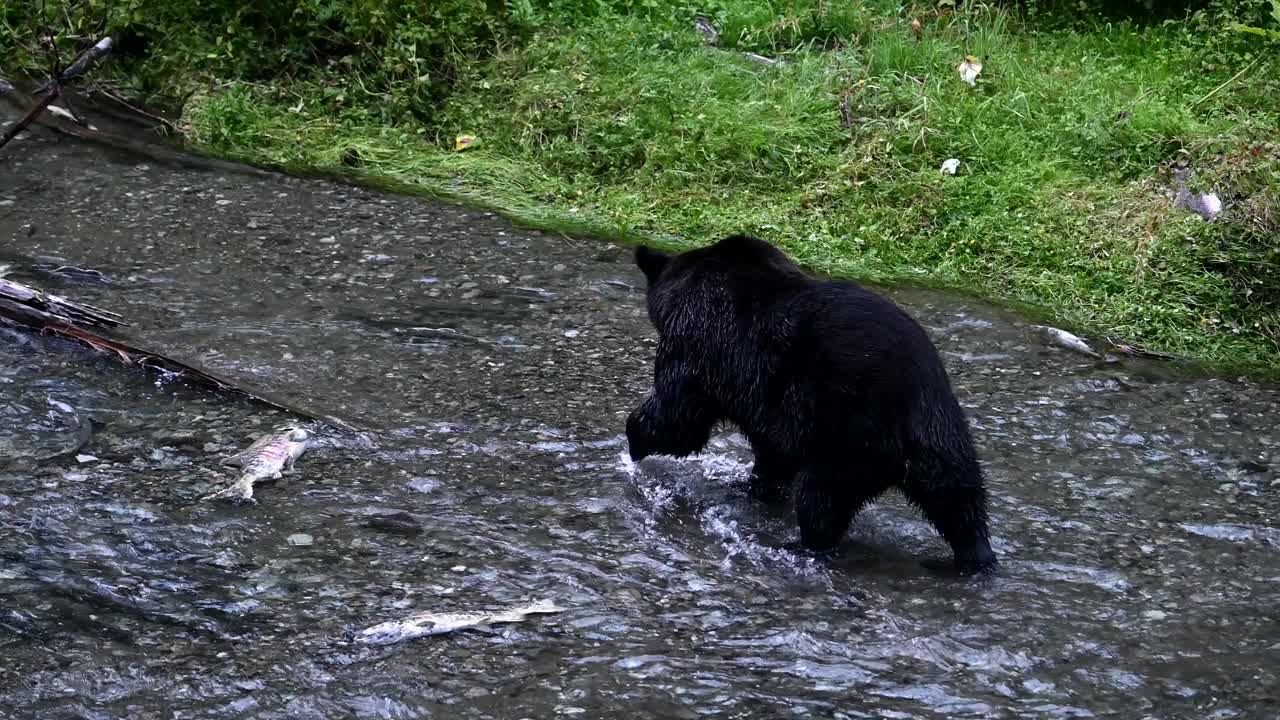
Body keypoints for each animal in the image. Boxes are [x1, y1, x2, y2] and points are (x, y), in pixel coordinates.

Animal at [624, 234, 993, 571]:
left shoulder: (700, 344)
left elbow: (678, 418)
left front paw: (635, 441)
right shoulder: (773, 406)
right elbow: (773, 454)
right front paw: (754, 485)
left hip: (847, 436)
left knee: (822, 500)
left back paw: (801, 545)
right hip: (942, 435)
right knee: (961, 502)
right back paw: (975, 556)